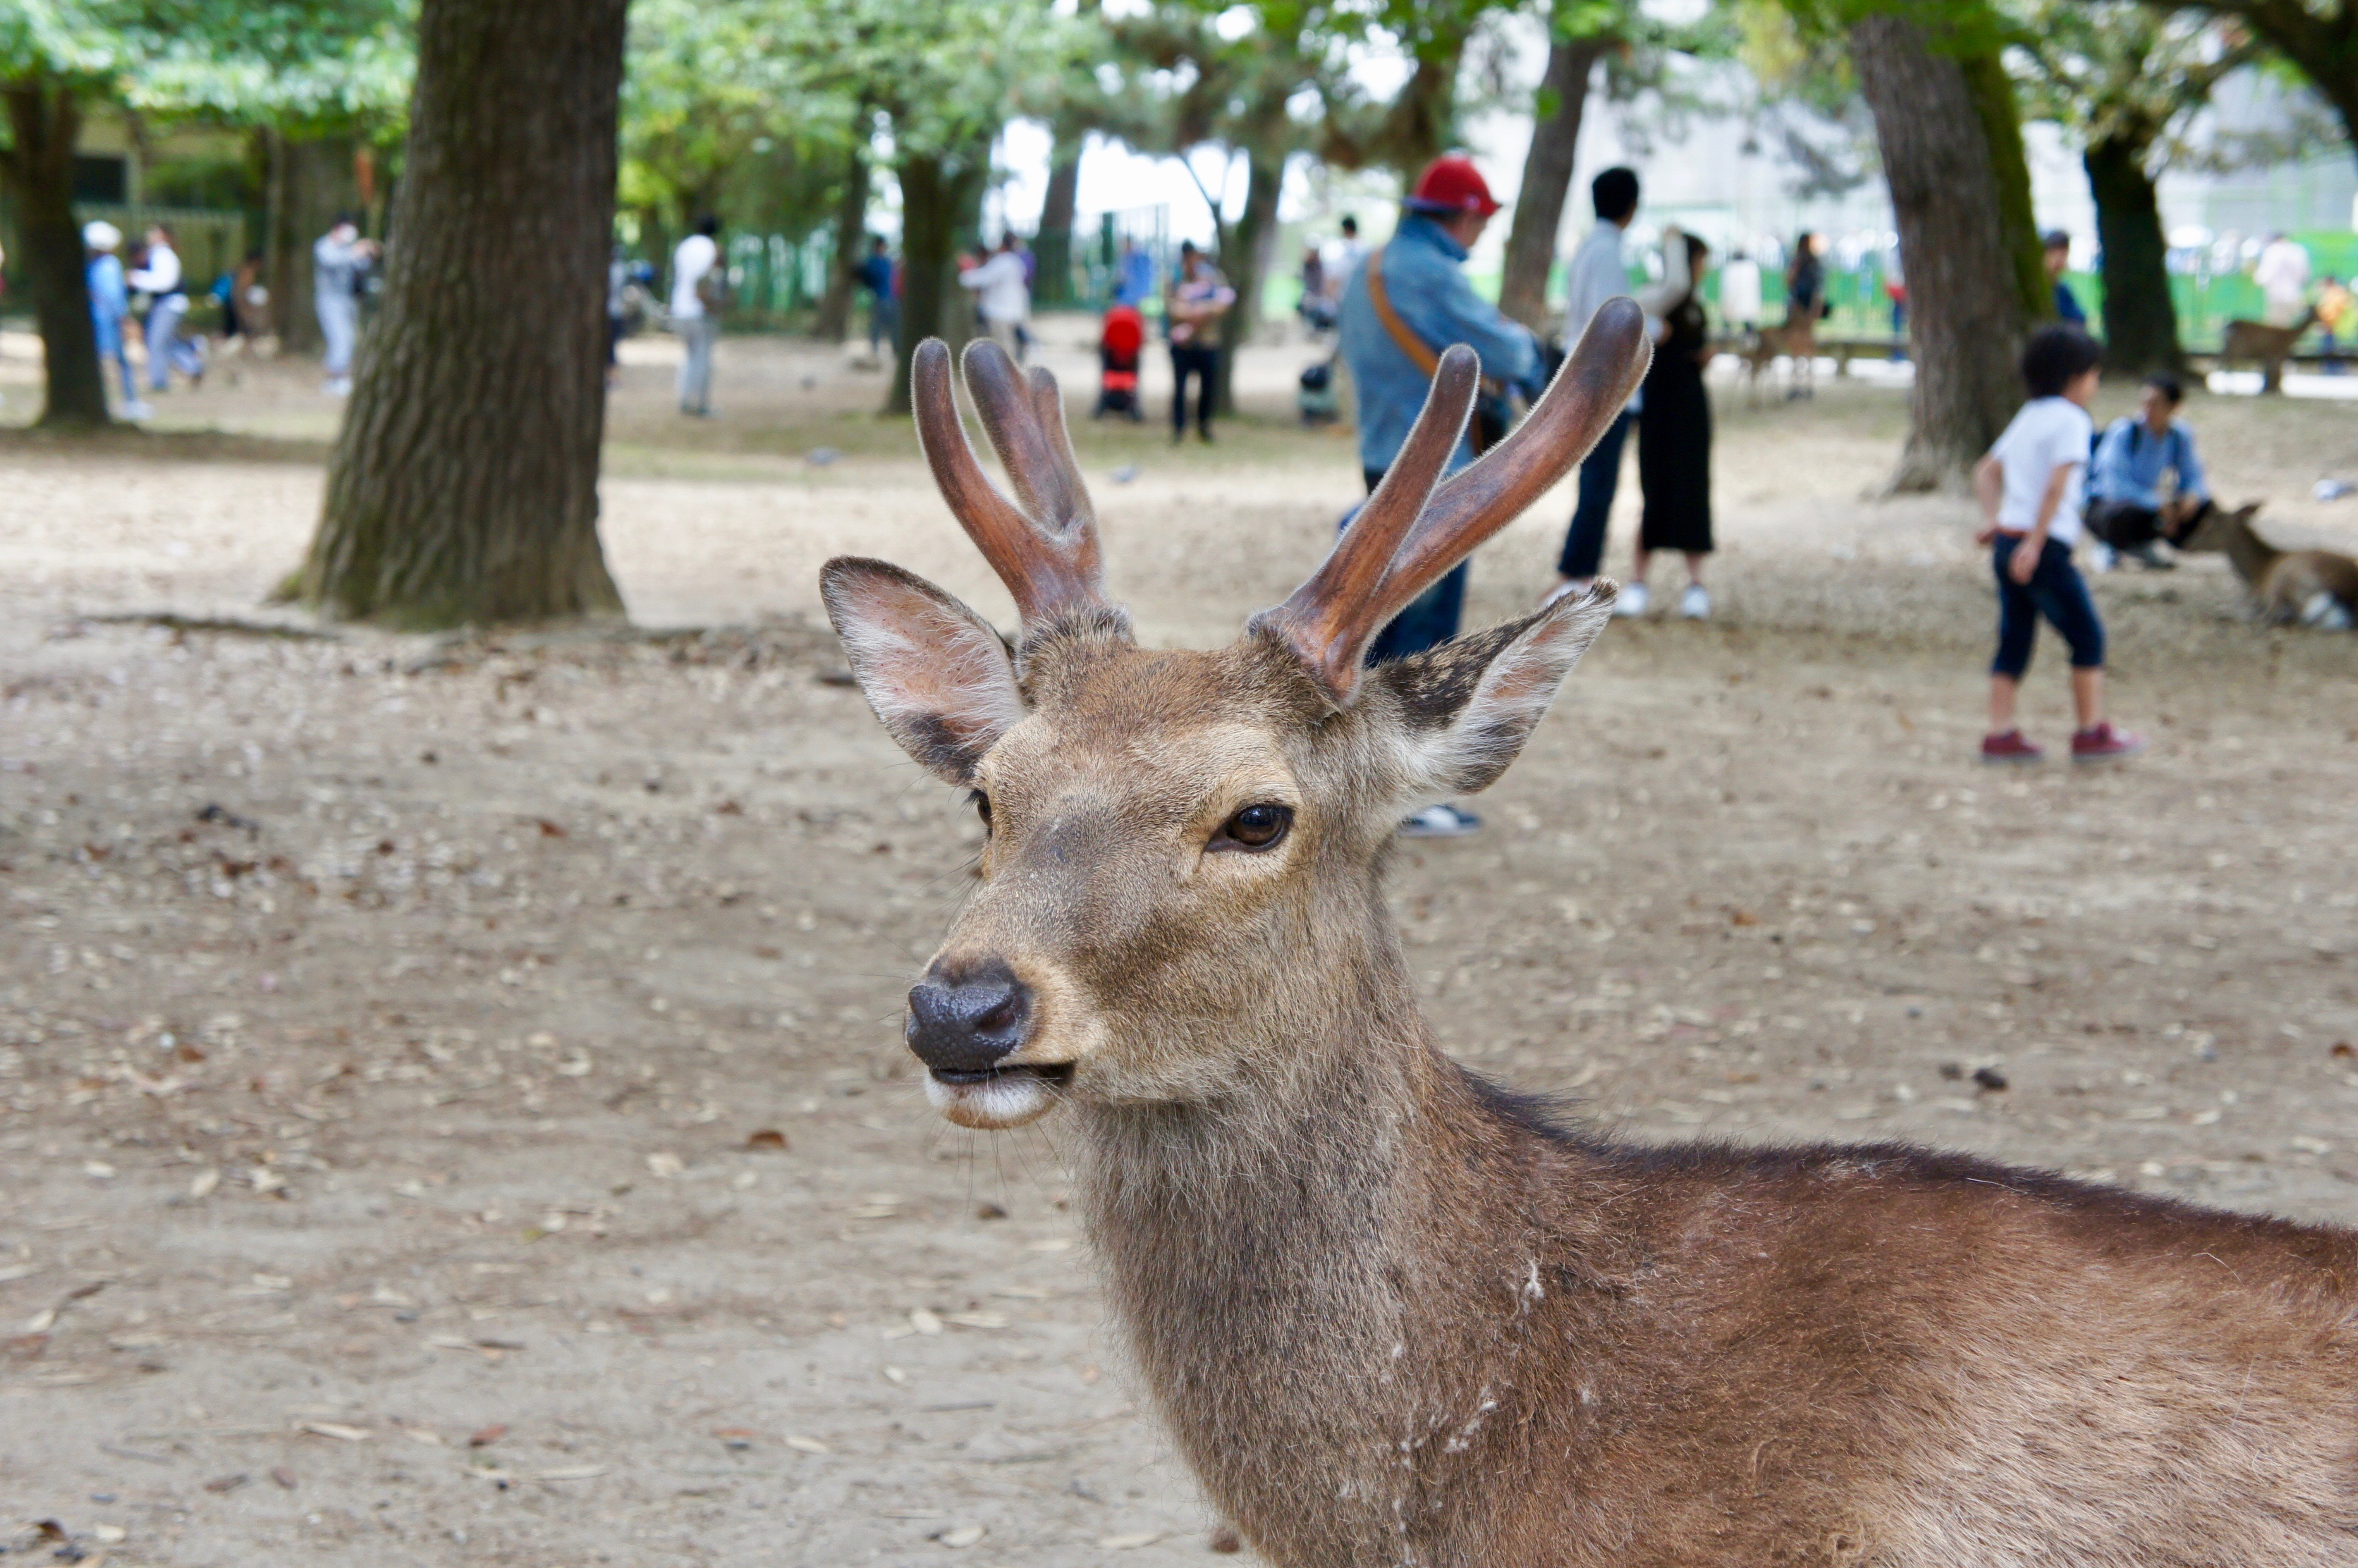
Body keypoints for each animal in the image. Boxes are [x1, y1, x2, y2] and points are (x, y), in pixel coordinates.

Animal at [2183, 501, 2358, 630]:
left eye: (2208, 526)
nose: (2187, 545)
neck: (2257, 572)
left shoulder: (2258, 595)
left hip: (2285, 581)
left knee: (2275, 616)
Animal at [2217, 305, 2319, 394]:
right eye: (2316, 312)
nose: (2320, 320)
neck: (2291, 336)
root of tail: (2228, 328)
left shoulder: (2269, 355)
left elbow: (2269, 373)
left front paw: (2266, 390)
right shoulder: (2278, 353)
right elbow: (2275, 372)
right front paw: (2273, 390)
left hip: (2229, 346)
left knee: (2223, 360)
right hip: (2238, 347)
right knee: (2228, 362)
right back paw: (2229, 389)